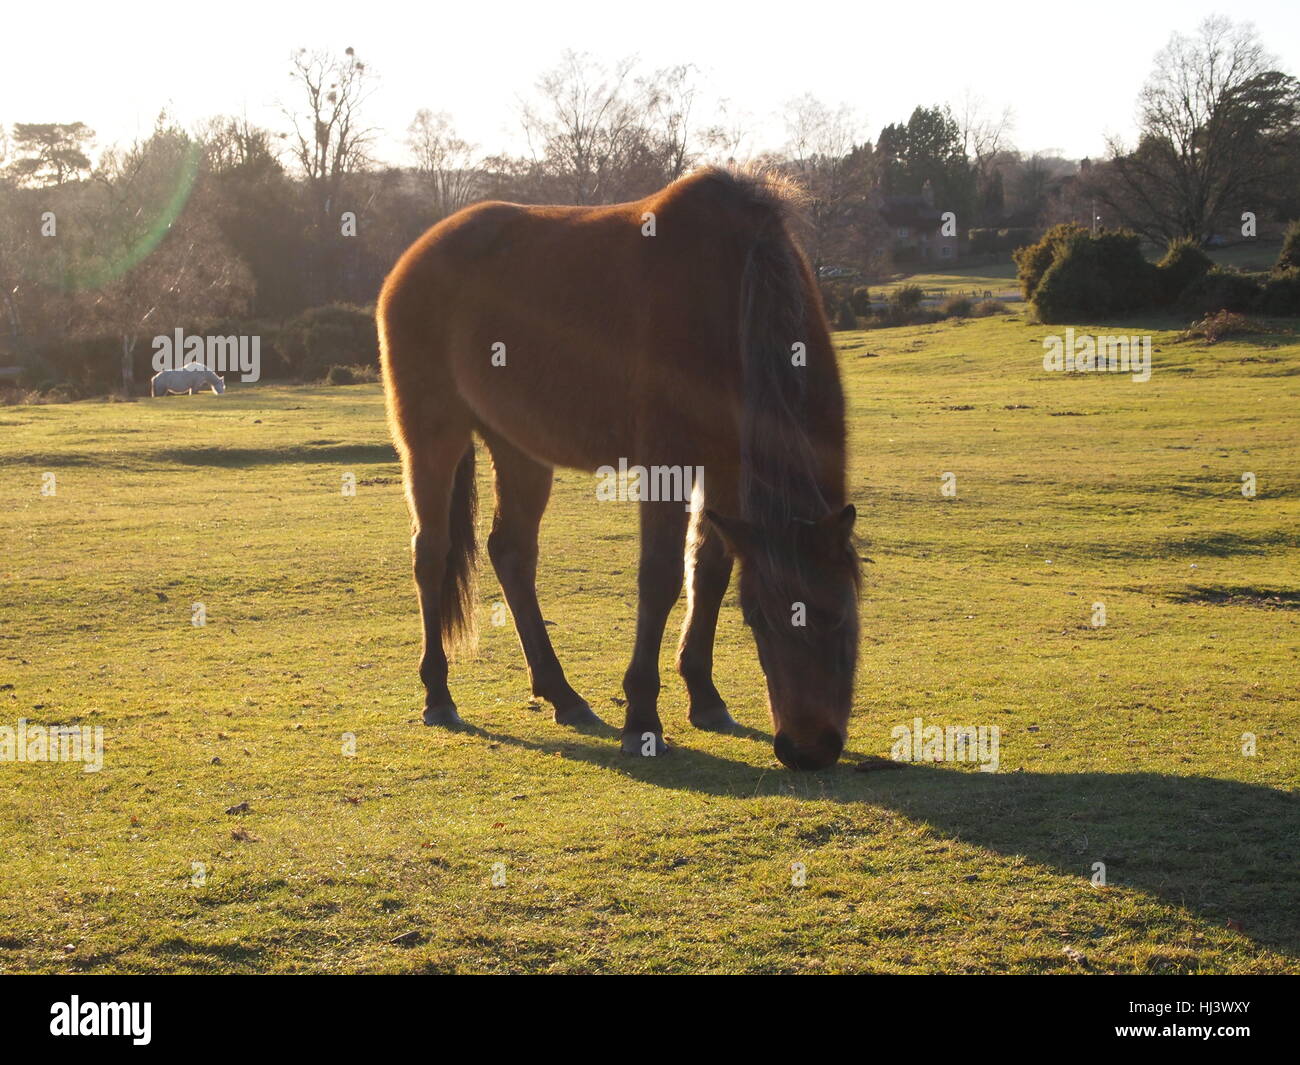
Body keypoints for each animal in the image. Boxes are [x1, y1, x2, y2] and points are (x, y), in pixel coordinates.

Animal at [379, 166, 857, 769]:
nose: (808, 749)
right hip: (431, 438)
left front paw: (704, 696)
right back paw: (438, 694)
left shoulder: (726, 468)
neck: (731, 290)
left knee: (511, 552)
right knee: (431, 554)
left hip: (520, 448)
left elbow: (710, 569)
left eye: (840, 612)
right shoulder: (665, 463)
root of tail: (414, 256)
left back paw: (562, 694)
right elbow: (660, 577)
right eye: (759, 619)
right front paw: (642, 719)